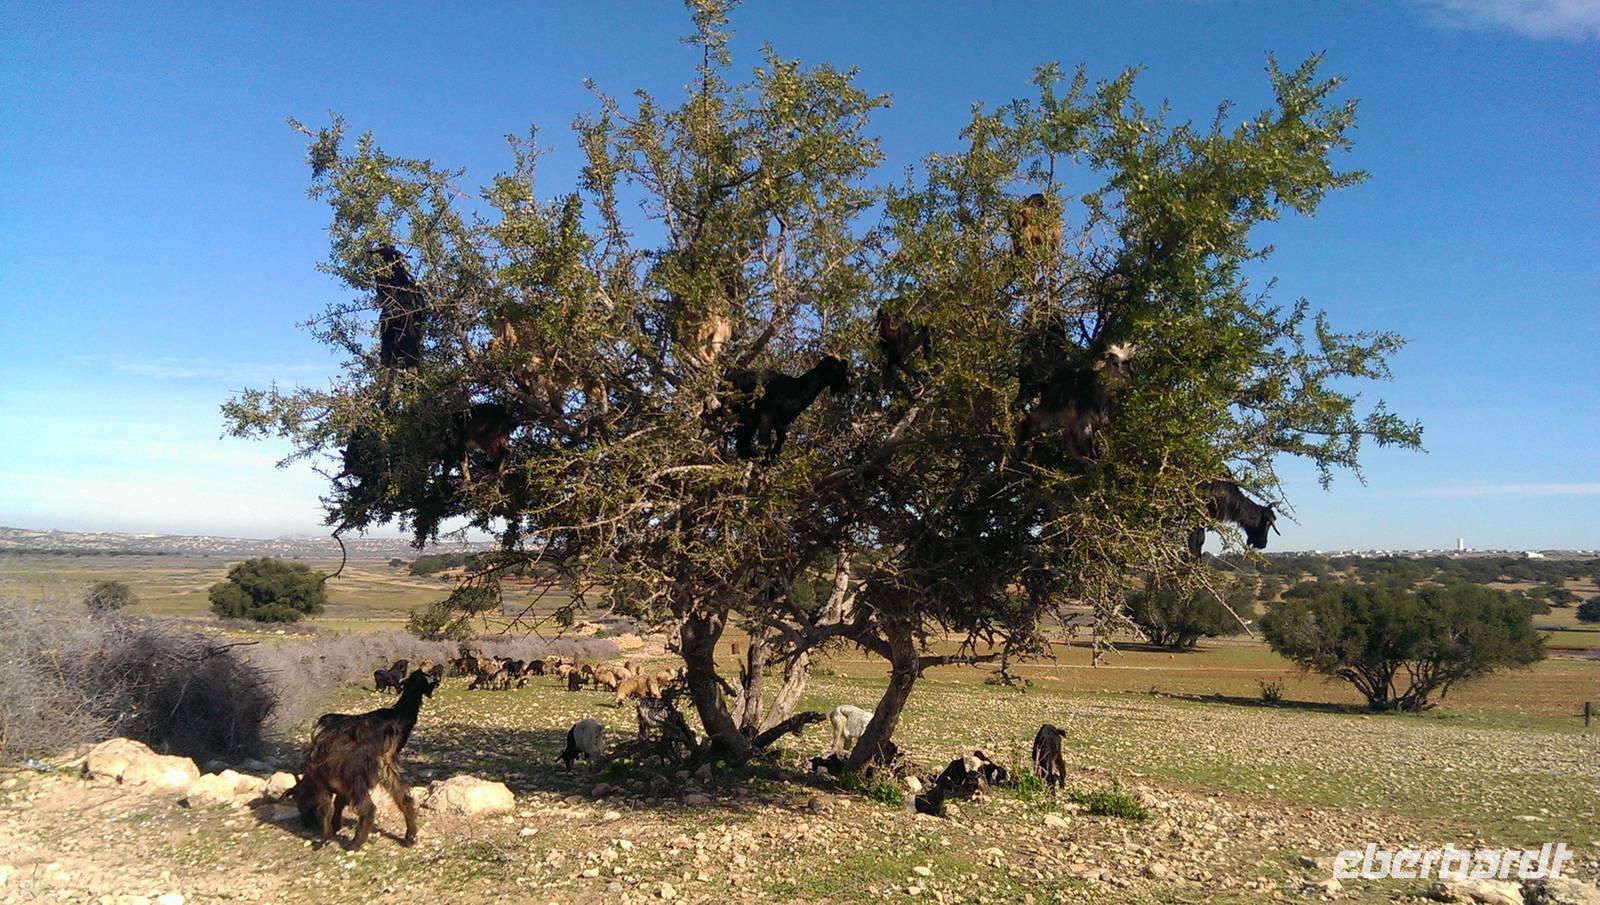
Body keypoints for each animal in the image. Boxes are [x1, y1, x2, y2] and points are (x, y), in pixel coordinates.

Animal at [295, 669, 438, 849]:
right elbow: (338, 803)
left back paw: (355, 843)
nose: (306, 823)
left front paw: (325, 838)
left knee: (368, 808)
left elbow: (327, 808)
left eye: (300, 803)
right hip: (386, 769)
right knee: (404, 799)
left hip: (356, 776)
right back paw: (409, 837)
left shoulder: (324, 783)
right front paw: (335, 827)